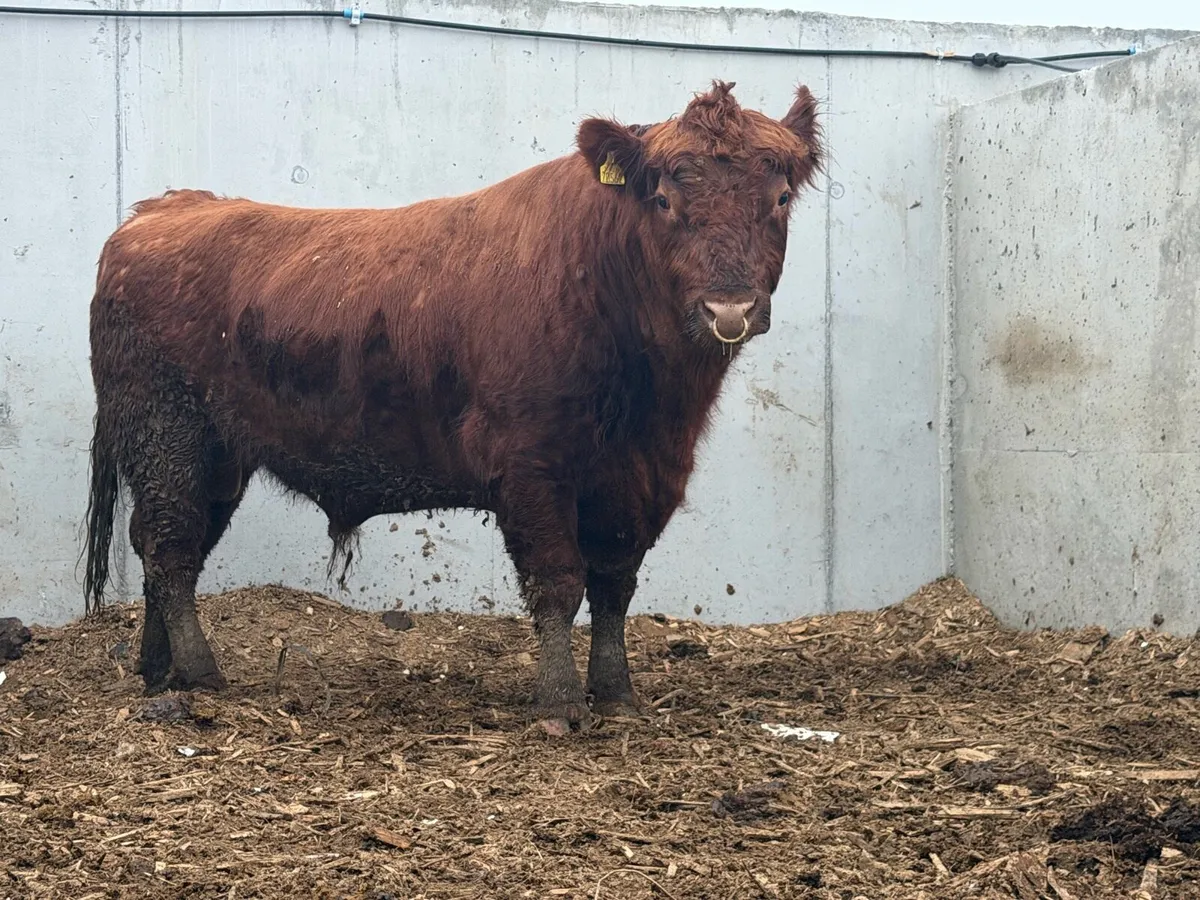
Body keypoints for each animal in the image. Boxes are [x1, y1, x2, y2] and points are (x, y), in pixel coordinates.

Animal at [83, 80, 823, 735]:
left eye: (781, 196)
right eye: (665, 197)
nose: (729, 308)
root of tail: (158, 212)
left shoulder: (641, 476)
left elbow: (615, 583)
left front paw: (616, 694)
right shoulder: (532, 466)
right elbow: (560, 581)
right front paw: (559, 705)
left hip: (214, 459)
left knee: (165, 544)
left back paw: (159, 671)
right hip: (169, 435)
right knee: (171, 548)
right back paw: (200, 674)